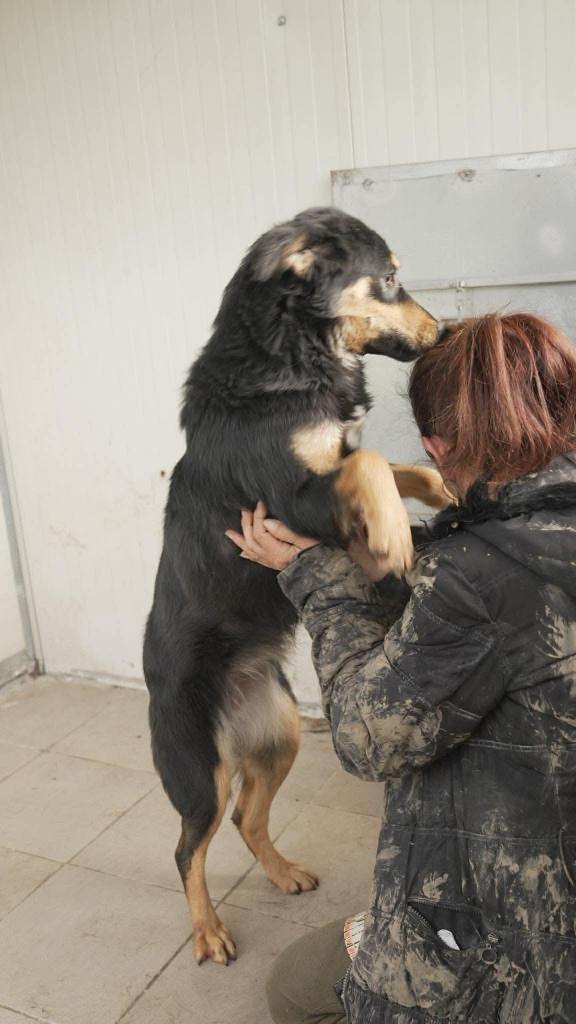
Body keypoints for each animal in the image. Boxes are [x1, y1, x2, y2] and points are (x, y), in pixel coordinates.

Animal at [143, 207, 448, 966]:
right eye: (389, 277)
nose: (444, 332)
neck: (288, 363)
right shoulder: (291, 499)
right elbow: (372, 462)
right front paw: (395, 535)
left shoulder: (327, 475)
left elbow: (394, 465)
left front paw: (440, 492)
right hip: (198, 770)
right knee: (188, 848)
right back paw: (209, 931)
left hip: (278, 737)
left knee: (248, 819)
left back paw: (281, 872)